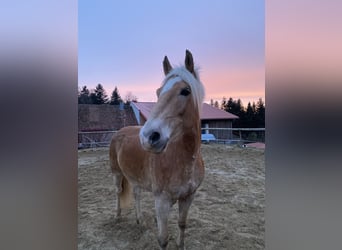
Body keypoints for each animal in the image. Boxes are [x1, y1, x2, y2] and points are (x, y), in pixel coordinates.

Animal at [111, 49, 204, 249]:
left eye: (185, 91)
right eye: (158, 92)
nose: (148, 137)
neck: (182, 159)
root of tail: (120, 132)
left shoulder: (189, 197)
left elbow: (182, 224)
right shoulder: (161, 201)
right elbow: (163, 239)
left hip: (134, 177)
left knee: (136, 194)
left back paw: (139, 220)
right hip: (117, 173)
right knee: (118, 193)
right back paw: (117, 216)